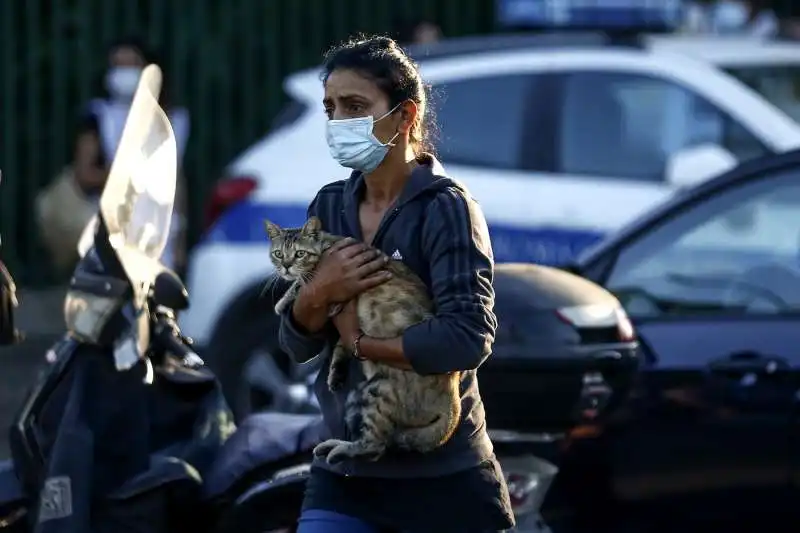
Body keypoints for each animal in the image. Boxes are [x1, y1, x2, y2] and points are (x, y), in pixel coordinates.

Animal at [266, 218, 460, 464]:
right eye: (278, 254)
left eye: (300, 254)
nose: (286, 266)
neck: (326, 244)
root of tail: (451, 400)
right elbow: (342, 343)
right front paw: (336, 371)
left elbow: (302, 285)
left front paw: (282, 301)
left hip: (378, 393)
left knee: (376, 446)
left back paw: (341, 447)